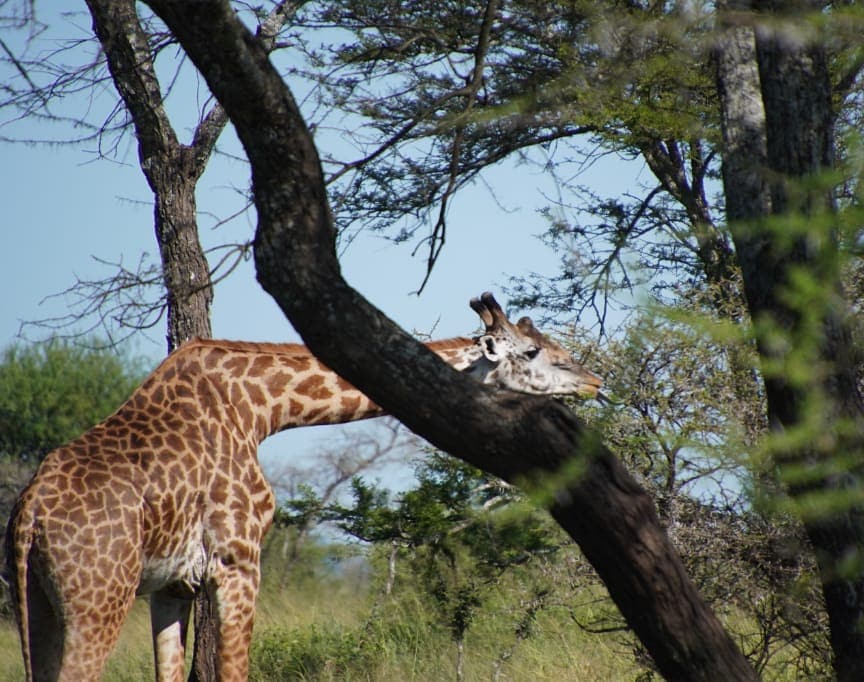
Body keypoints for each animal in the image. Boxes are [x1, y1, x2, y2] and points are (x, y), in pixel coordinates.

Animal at [5, 290, 600, 680]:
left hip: (37, 601)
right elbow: (235, 672)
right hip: (98, 598)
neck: (261, 410)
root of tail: (30, 514)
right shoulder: (238, 560)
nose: (595, 380)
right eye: (533, 352)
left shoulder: (173, 585)